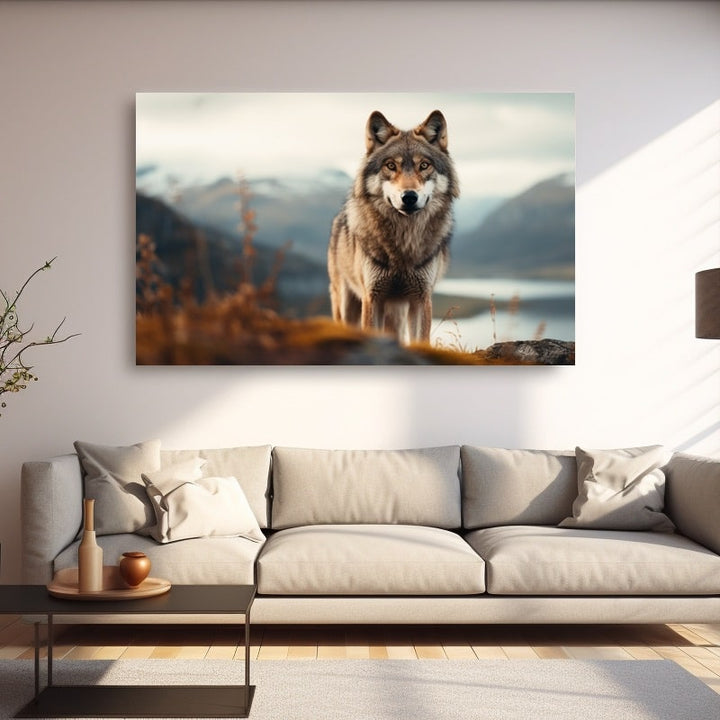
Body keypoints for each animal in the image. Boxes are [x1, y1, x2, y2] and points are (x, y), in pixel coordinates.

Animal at [328, 109, 459, 345]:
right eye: (391, 166)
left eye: (423, 165)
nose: (409, 197)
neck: (403, 243)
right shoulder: (373, 298)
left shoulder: (420, 298)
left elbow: (421, 339)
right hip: (346, 304)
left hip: (396, 312)